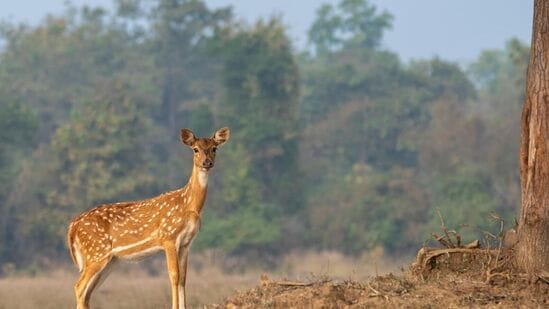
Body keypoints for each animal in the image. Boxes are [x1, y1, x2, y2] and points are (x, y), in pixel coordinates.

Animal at [67, 126, 229, 306]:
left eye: (214, 148)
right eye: (195, 149)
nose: (207, 163)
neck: (189, 205)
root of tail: (73, 226)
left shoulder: (186, 243)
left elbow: (183, 278)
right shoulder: (168, 237)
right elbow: (174, 275)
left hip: (108, 260)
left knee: (87, 292)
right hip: (96, 252)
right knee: (79, 287)